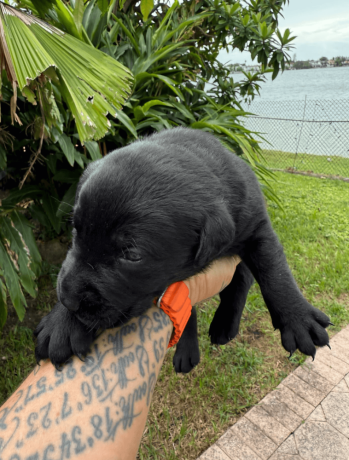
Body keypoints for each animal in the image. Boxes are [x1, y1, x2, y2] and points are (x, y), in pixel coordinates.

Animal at [34, 127, 330, 372]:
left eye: (131, 255)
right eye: (76, 229)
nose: (68, 299)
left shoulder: (257, 226)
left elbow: (275, 273)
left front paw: (298, 319)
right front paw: (62, 323)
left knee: (242, 280)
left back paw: (225, 323)